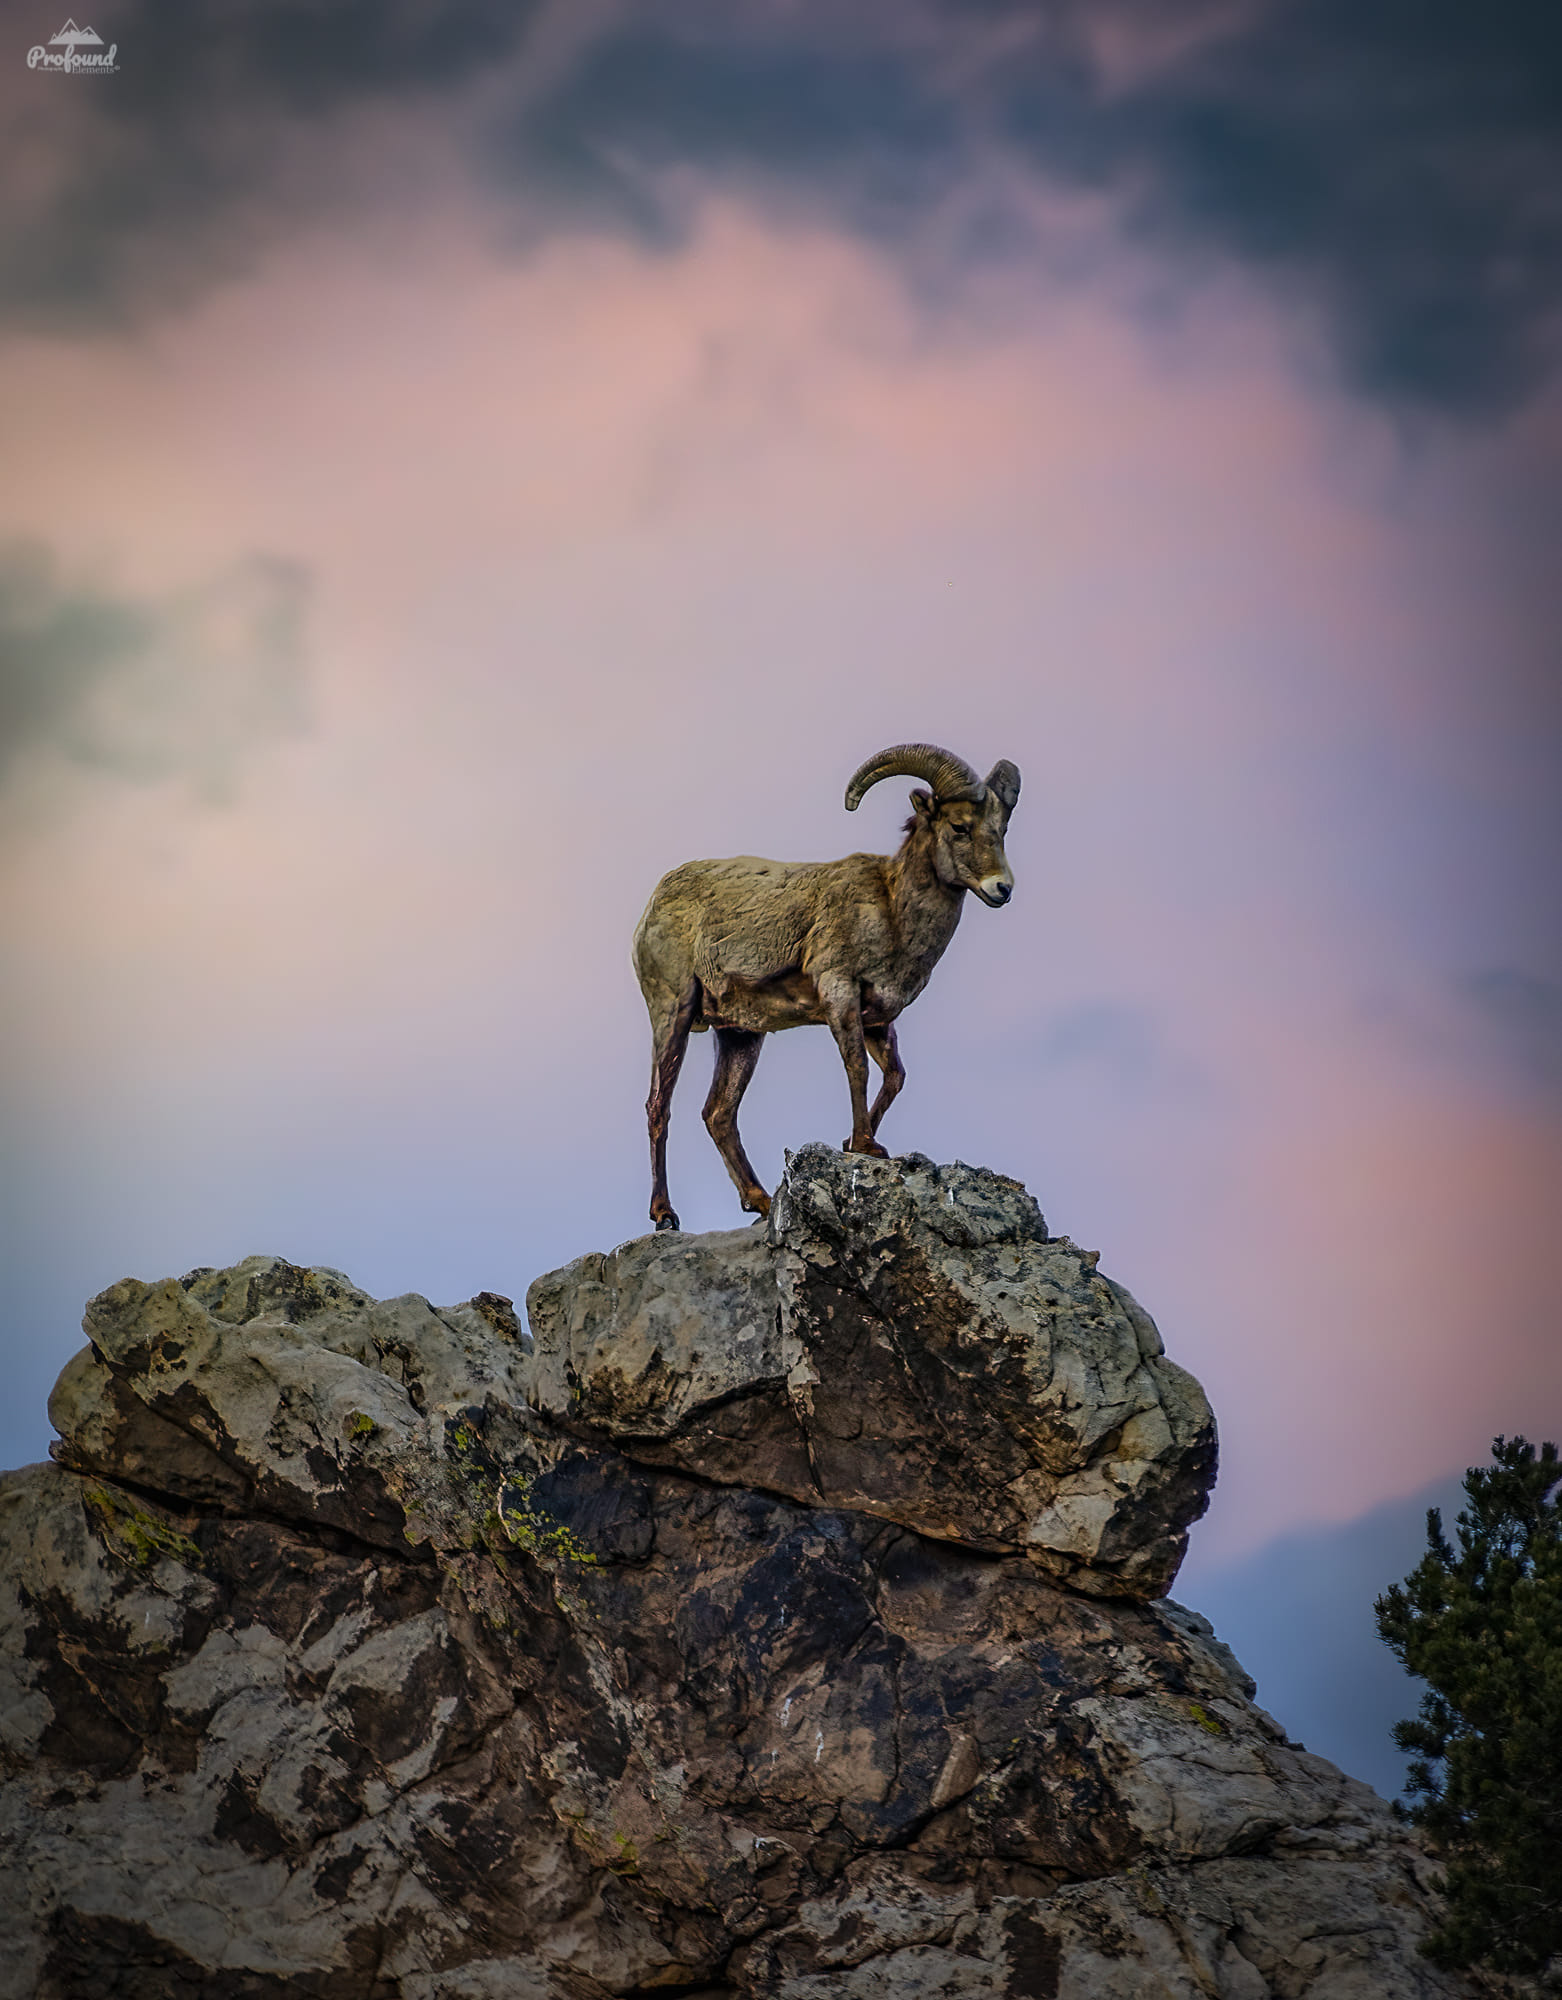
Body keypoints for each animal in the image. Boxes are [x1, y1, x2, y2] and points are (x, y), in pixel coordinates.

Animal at [632, 742, 1021, 1231]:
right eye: (959, 827)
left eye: (1001, 829)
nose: (1002, 889)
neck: (891, 912)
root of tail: (653, 905)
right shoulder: (840, 994)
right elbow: (858, 1069)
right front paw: (865, 1146)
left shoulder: (879, 1020)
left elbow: (895, 1077)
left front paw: (855, 1144)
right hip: (674, 1014)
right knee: (658, 1105)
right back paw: (664, 1214)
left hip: (741, 1035)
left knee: (719, 1113)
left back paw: (760, 1202)